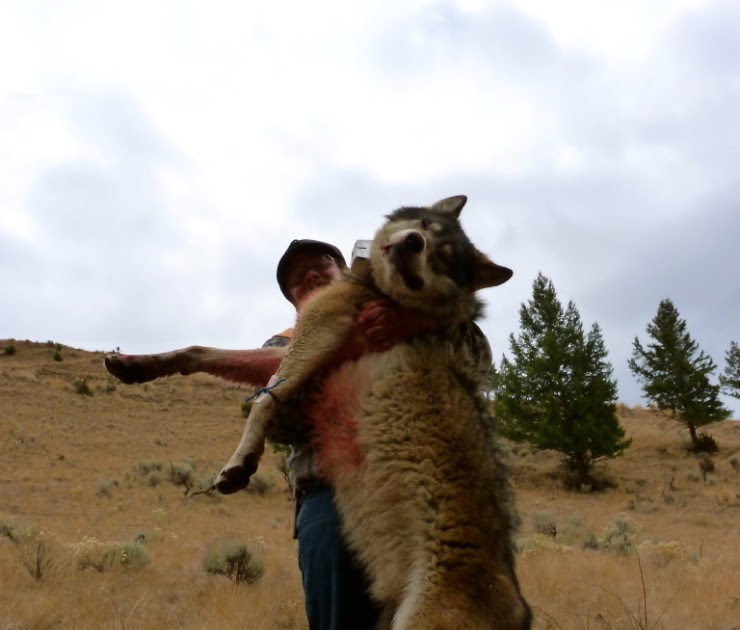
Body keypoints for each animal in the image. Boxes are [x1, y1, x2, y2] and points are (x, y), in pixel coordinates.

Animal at [215, 196, 531, 630]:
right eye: (425, 226)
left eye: (444, 258)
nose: (412, 241)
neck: (382, 295)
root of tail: (519, 610)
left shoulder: (320, 325)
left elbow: (264, 399)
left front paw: (238, 463)